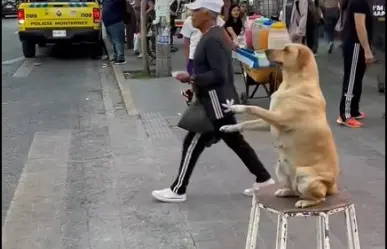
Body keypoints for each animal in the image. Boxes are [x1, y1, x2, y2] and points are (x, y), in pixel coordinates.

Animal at [221, 43, 340, 208]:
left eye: (286, 50)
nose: (265, 50)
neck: (293, 83)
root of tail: (332, 186)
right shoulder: (269, 122)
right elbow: (246, 122)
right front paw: (229, 127)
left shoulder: (280, 118)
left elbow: (254, 108)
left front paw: (237, 107)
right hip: (280, 168)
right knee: (294, 190)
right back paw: (285, 191)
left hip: (305, 177)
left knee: (319, 197)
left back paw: (305, 202)